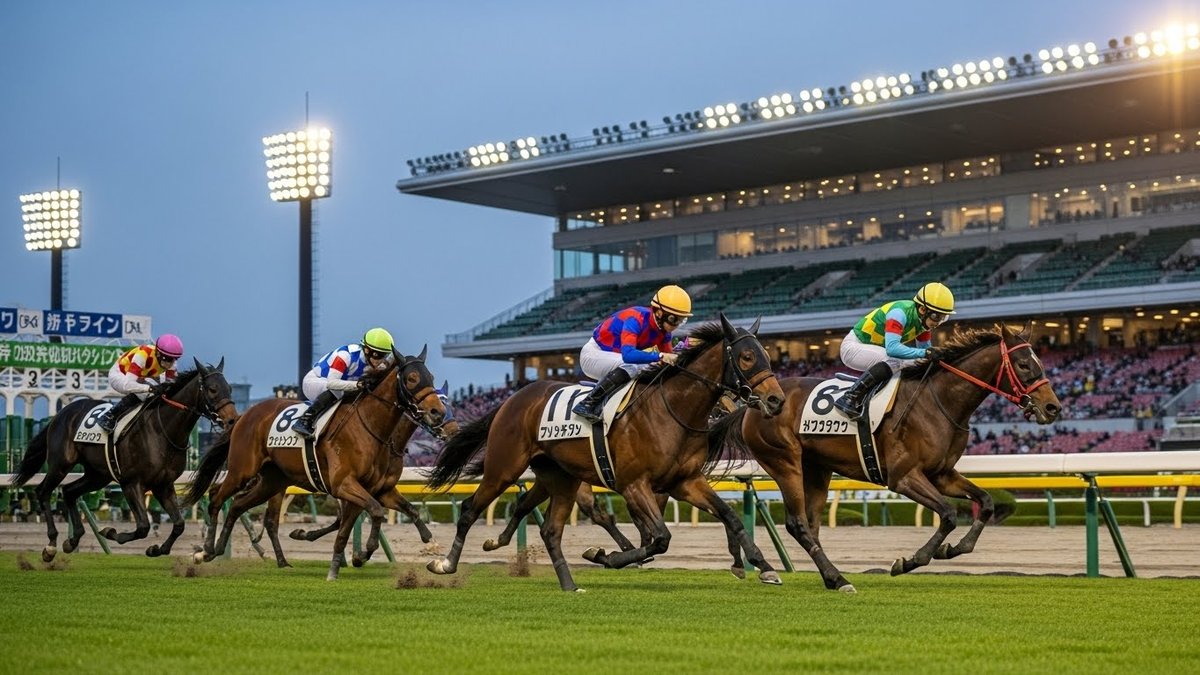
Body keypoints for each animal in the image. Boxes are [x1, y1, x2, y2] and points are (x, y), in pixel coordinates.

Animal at [13, 359, 238, 562]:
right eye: (212, 389)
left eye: (229, 388)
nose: (232, 420)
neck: (162, 431)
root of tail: (62, 413)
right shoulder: (131, 483)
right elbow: (143, 527)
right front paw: (111, 533)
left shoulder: (163, 485)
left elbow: (179, 524)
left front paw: (157, 549)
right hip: (61, 464)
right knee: (43, 492)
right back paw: (51, 545)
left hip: (98, 475)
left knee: (69, 491)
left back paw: (73, 540)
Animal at [184, 347, 447, 580]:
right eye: (412, 378)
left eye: (431, 377)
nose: (438, 413)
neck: (371, 428)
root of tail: (242, 416)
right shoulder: (344, 485)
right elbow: (374, 512)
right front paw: (354, 557)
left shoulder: (379, 489)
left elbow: (403, 511)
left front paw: (427, 540)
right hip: (243, 470)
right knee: (217, 496)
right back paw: (206, 550)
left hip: (272, 481)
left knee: (238, 505)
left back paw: (218, 550)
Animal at [425, 314, 787, 592]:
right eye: (747, 357)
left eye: (768, 356)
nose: (776, 400)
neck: (671, 410)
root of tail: (511, 400)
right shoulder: (634, 485)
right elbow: (659, 537)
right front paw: (605, 556)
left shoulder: (684, 482)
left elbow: (729, 516)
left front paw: (763, 565)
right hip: (504, 467)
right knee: (471, 508)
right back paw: (445, 563)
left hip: (555, 475)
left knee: (532, 512)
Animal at [713, 323, 1062, 592]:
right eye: (1024, 364)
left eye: (1039, 362)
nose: (1053, 407)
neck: (939, 402)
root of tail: (755, 403)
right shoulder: (903, 477)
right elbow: (949, 514)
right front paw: (910, 561)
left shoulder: (942, 474)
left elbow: (987, 502)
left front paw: (956, 548)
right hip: (785, 462)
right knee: (797, 523)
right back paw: (835, 578)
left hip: (816, 468)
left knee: (810, 525)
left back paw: (830, 577)